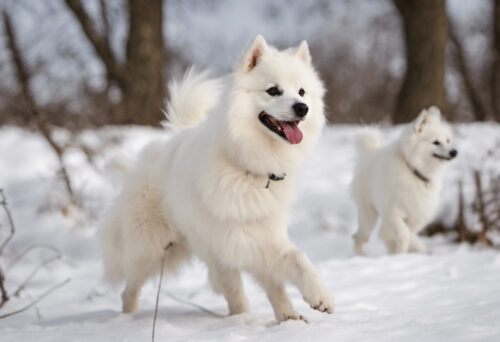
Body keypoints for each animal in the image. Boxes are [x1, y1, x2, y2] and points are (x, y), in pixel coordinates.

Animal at [99, 34, 334, 320]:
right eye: (273, 91)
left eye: (301, 92)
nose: (302, 108)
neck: (249, 168)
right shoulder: (221, 246)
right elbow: (236, 294)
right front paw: (241, 321)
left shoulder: (262, 236)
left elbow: (294, 265)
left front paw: (310, 303)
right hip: (150, 250)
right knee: (129, 289)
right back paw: (128, 318)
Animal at [352, 107, 458, 254]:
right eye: (436, 142)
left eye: (448, 141)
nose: (454, 152)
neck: (413, 170)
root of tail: (370, 153)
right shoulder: (393, 212)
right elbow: (404, 233)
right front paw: (400, 253)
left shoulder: (417, 214)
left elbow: (407, 232)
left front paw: (400, 250)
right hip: (369, 214)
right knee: (359, 236)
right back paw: (360, 255)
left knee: (380, 233)